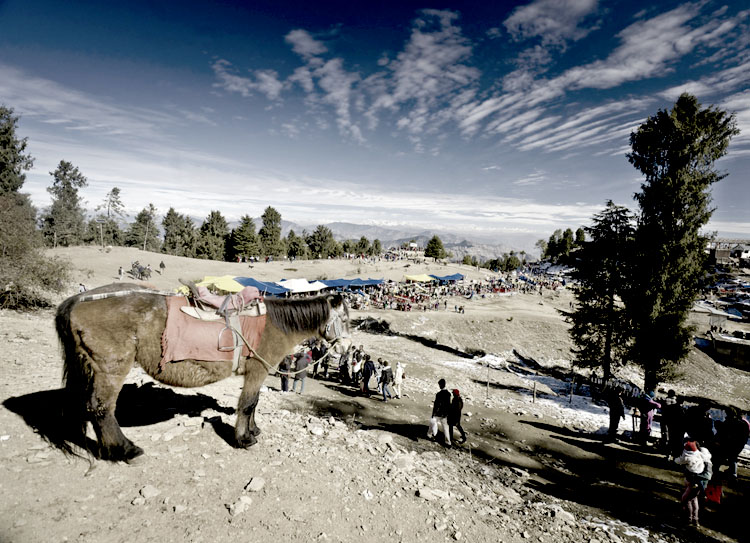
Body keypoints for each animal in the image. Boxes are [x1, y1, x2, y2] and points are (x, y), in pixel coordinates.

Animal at [55, 284, 350, 464]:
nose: (344, 348)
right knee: (101, 408)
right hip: (111, 367)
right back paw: (124, 449)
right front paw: (243, 438)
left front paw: (253, 429)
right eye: (345, 319)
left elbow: (254, 404)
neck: (275, 324)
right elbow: (248, 404)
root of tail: (76, 300)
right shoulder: (257, 369)